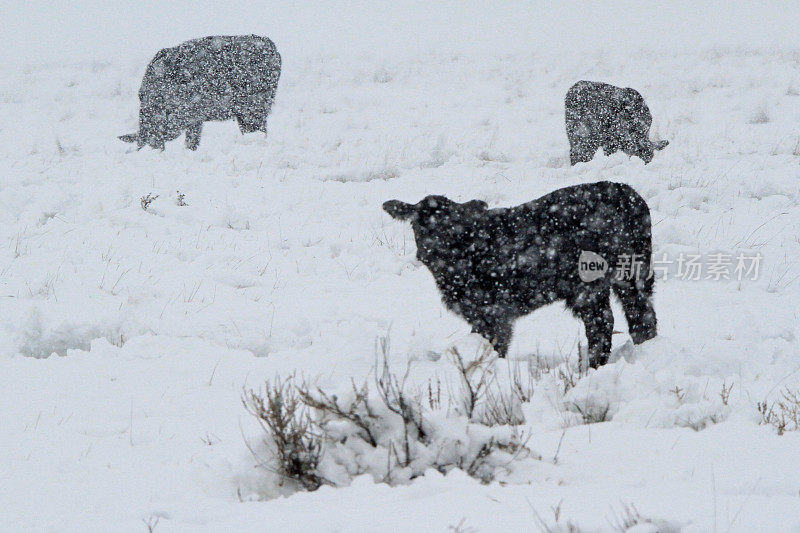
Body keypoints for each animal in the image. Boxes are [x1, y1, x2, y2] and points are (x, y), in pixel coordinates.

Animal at [386, 181, 656, 368]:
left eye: (454, 225)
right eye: (417, 224)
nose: (432, 250)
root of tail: (627, 193)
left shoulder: (493, 312)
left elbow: (495, 345)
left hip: (595, 281)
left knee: (607, 322)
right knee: (636, 314)